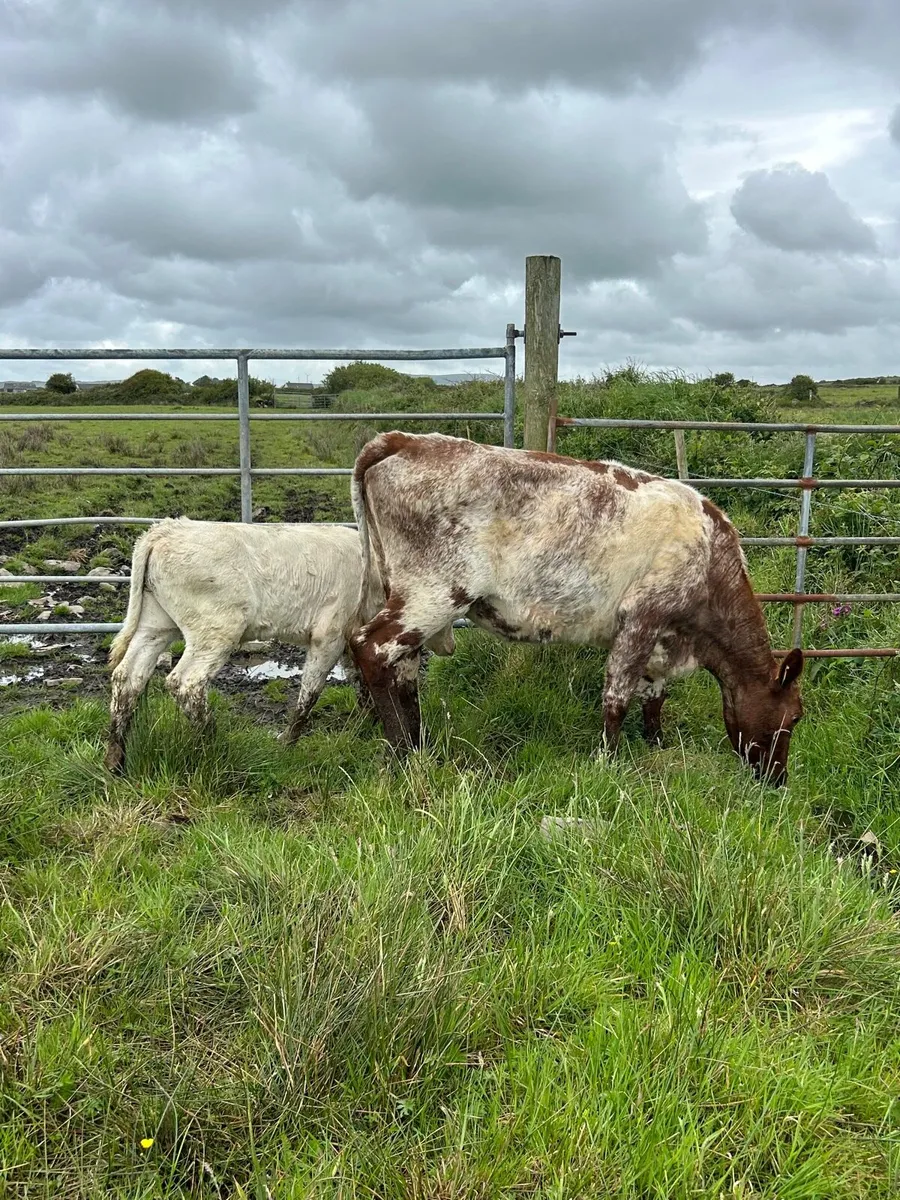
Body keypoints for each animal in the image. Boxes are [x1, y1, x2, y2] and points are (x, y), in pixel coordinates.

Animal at [103, 517, 454, 774]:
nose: (450, 647)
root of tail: (165, 530)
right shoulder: (328, 634)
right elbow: (311, 690)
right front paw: (288, 740)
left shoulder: (349, 639)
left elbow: (361, 681)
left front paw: (367, 721)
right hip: (214, 631)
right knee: (185, 682)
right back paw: (215, 742)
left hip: (156, 624)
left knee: (128, 676)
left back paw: (115, 760)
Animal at [348, 431, 804, 786]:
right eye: (796, 717)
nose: (778, 779)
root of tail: (405, 440)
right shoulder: (642, 616)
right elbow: (618, 696)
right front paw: (611, 760)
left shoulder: (662, 637)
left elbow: (654, 696)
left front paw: (657, 744)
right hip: (434, 593)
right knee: (370, 648)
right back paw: (401, 753)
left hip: (402, 590)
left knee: (405, 668)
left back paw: (418, 743)